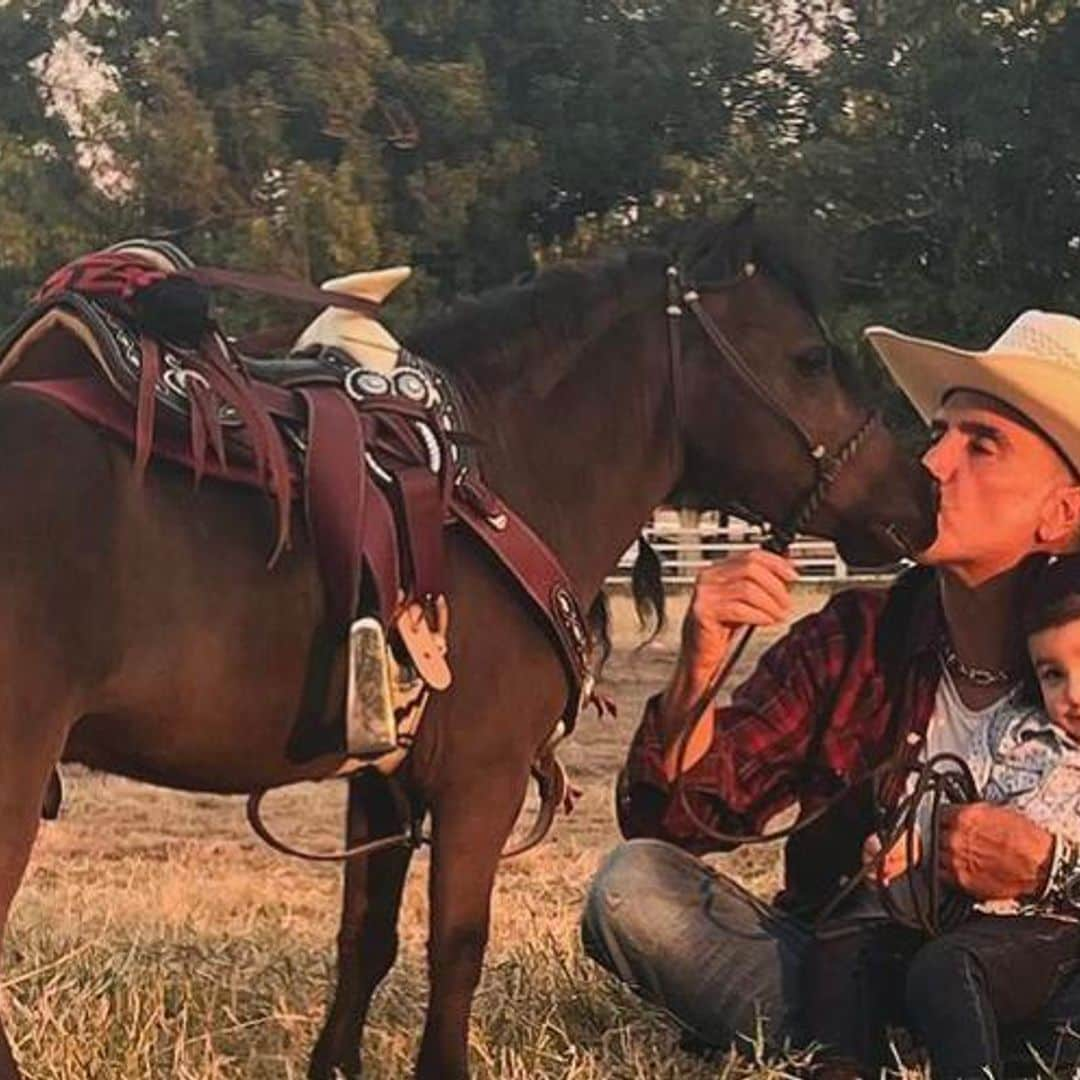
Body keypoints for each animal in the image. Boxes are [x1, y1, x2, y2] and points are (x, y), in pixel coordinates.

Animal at [0, 208, 937, 1080]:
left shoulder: (382, 784)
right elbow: (456, 949)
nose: (920, 501)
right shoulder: (479, 780)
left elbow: (365, 942)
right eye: (809, 358)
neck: (493, 479)